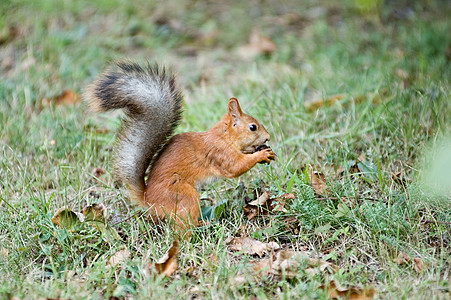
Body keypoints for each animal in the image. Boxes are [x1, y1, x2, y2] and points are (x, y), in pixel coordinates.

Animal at [85, 61, 276, 232]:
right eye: (253, 127)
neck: (224, 136)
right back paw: (199, 227)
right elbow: (236, 167)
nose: (268, 137)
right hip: (183, 196)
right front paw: (260, 155)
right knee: (183, 225)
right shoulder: (219, 153)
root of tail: (149, 201)